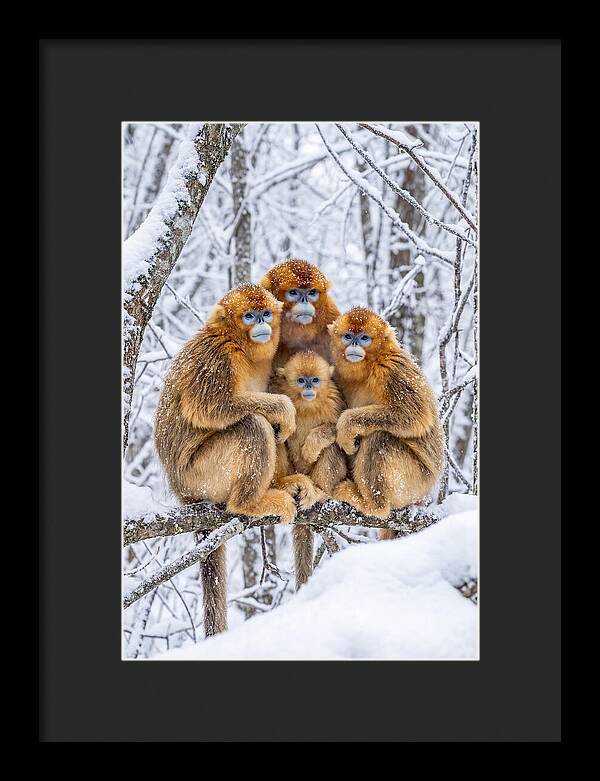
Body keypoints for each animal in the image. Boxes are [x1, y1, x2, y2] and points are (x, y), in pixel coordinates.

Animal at [154, 284, 298, 637]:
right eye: (249, 315)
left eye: (265, 313)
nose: (262, 324)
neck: (242, 348)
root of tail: (182, 491)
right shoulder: (216, 357)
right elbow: (211, 408)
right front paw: (283, 406)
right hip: (201, 475)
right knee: (253, 425)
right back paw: (249, 503)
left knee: (268, 429)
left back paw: (280, 484)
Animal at [269, 351, 348, 588]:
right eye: (301, 381)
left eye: (314, 380)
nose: (309, 388)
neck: (306, 404)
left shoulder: (334, 399)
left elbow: (339, 430)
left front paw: (312, 446)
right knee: (275, 435)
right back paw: (283, 484)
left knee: (332, 447)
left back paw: (320, 492)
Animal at [327, 307, 444, 539]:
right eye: (348, 336)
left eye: (364, 338)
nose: (355, 344)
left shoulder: (392, 369)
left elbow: (415, 415)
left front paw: (346, 426)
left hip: (415, 482)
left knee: (380, 438)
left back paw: (372, 505)